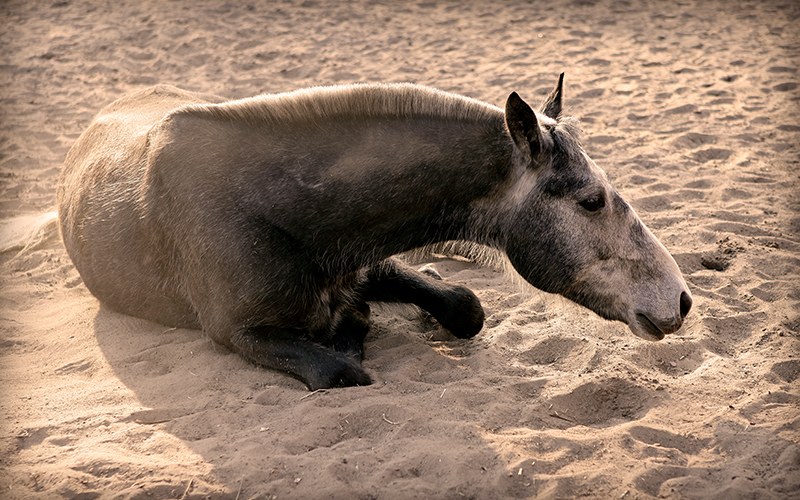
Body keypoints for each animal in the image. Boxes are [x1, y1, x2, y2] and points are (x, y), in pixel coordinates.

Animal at [57, 74, 692, 390]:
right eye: (591, 200)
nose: (682, 300)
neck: (277, 207)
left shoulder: (365, 263)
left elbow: (463, 304)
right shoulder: (235, 332)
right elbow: (339, 369)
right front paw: (349, 337)